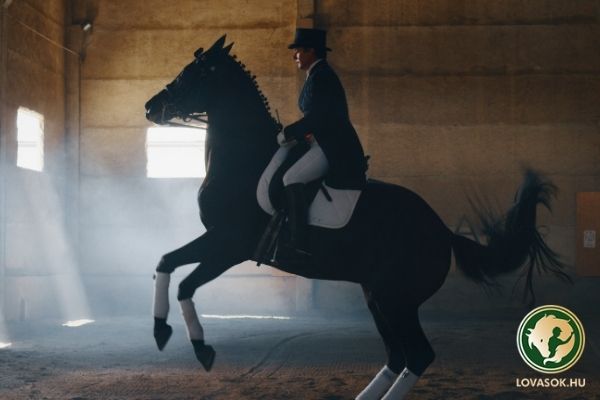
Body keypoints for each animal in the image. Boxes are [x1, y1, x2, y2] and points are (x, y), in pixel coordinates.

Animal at [145, 35, 568, 400]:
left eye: (192, 73)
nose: (151, 107)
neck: (244, 161)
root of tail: (442, 232)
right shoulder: (218, 240)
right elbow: (166, 262)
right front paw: (161, 330)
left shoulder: (230, 245)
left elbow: (185, 284)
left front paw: (201, 349)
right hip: (376, 295)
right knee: (397, 355)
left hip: (395, 299)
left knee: (417, 355)